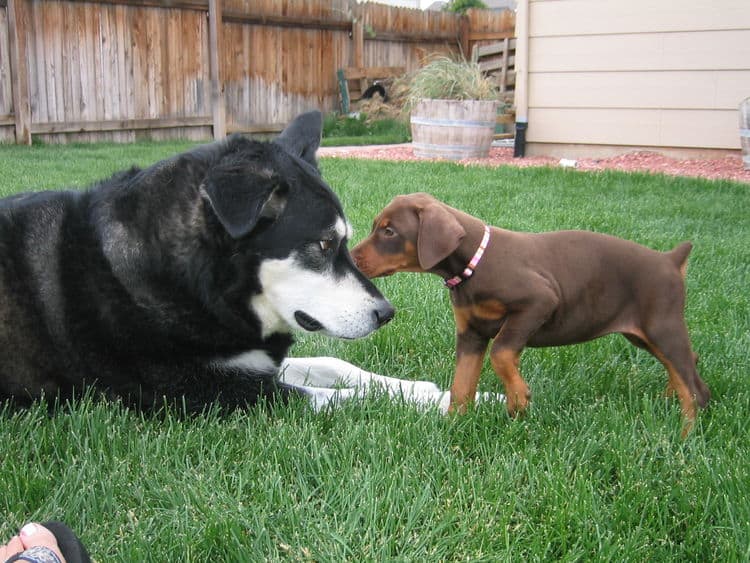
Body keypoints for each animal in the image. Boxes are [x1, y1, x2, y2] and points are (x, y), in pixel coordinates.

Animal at [0, 111, 396, 410]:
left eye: (341, 242)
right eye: (324, 244)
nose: (386, 313)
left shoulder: (248, 364)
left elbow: (335, 364)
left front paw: (407, 386)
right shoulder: (215, 393)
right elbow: (347, 399)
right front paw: (410, 404)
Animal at [352, 192, 712, 434]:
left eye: (389, 231)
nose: (352, 258)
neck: (474, 264)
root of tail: (669, 260)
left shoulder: (538, 303)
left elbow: (501, 353)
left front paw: (518, 401)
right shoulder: (471, 334)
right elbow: (462, 384)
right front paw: (455, 423)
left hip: (661, 325)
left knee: (694, 387)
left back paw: (684, 434)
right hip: (643, 334)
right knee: (686, 363)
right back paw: (669, 400)